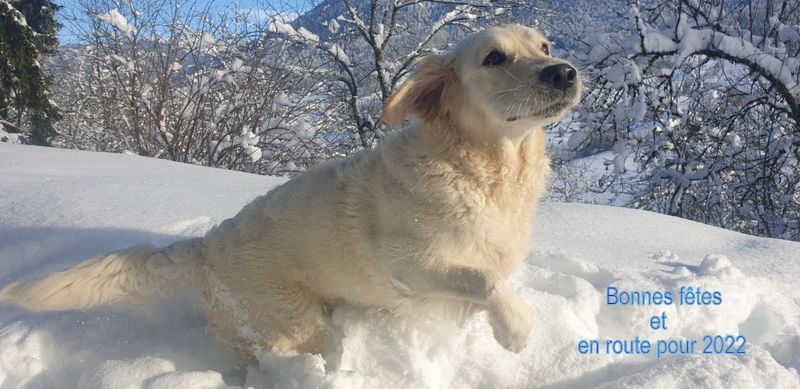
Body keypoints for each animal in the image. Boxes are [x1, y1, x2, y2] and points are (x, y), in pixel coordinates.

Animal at [0, 24, 580, 358]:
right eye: (494, 59)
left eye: (544, 46)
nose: (565, 71)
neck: (482, 170)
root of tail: (207, 246)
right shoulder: (408, 266)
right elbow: (485, 280)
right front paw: (516, 330)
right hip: (295, 320)